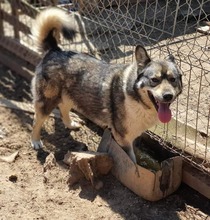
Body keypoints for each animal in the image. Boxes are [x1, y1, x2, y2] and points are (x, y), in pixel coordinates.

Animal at [30, 7, 182, 163]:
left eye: (173, 79)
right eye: (154, 80)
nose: (168, 96)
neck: (135, 98)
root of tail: (55, 50)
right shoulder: (122, 138)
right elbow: (131, 160)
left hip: (70, 96)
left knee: (63, 108)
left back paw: (70, 124)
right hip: (46, 102)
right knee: (37, 120)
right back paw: (36, 141)